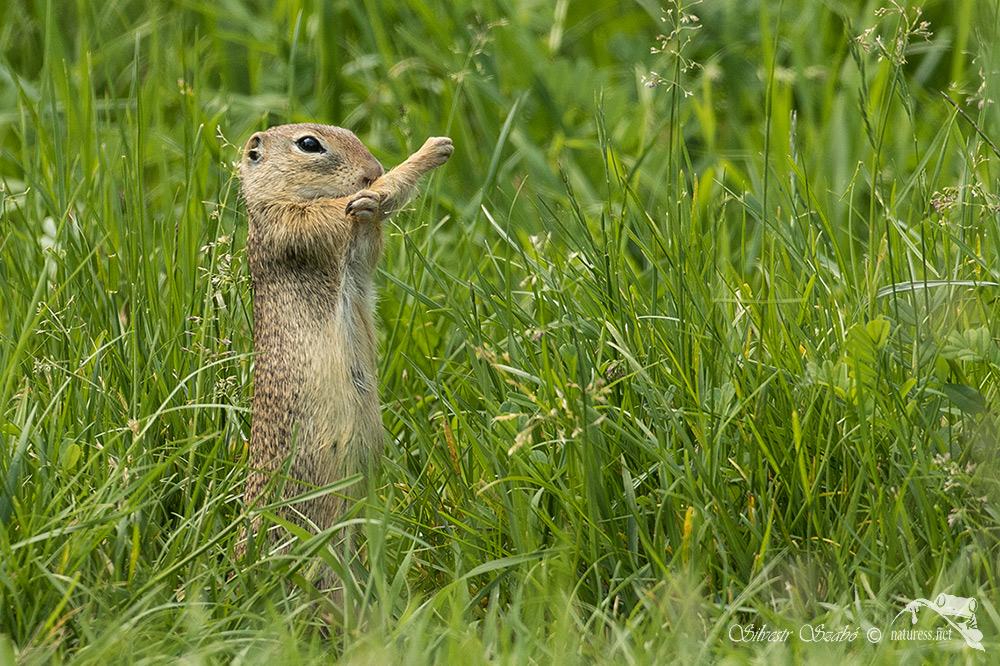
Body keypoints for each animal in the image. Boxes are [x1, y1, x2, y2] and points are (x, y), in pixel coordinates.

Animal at [234, 122, 454, 584]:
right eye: (309, 144)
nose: (372, 169)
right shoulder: (294, 225)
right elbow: (338, 212)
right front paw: (426, 155)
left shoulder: (352, 253)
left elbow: (367, 248)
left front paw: (376, 199)